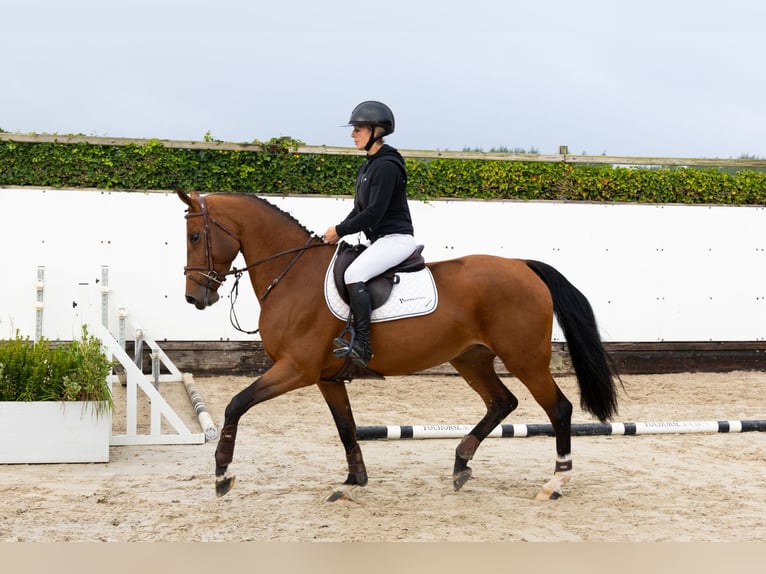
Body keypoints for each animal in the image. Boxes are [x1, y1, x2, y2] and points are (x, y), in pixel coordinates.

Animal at [176, 189, 619, 501]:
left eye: (196, 235)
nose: (195, 298)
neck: (293, 273)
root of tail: (523, 266)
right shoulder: (325, 377)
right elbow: (346, 428)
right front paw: (352, 481)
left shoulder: (296, 369)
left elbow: (236, 404)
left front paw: (222, 474)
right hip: (471, 358)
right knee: (501, 402)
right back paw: (461, 463)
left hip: (525, 359)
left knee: (558, 409)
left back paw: (555, 482)